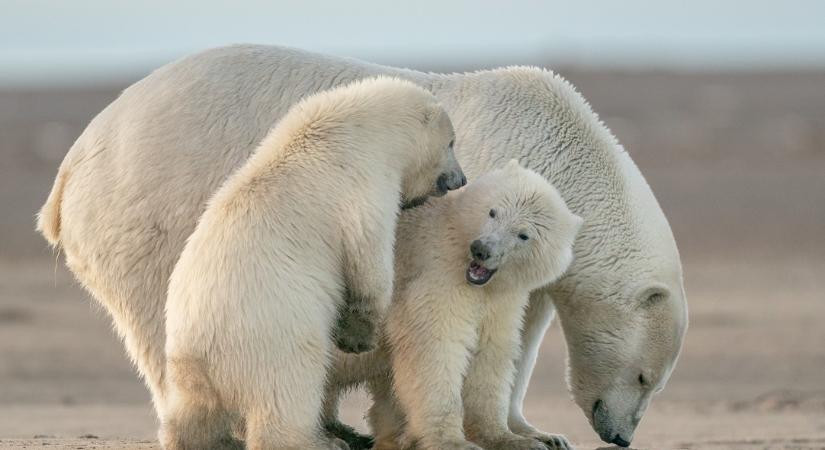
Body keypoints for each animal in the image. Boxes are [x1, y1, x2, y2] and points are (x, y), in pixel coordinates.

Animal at [159, 77, 464, 450]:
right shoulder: (362, 186)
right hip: (273, 338)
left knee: (190, 411)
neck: (355, 127)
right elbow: (368, 260)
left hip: (185, 364)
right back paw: (323, 440)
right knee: (289, 393)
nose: (459, 179)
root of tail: (203, 351)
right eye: (451, 143)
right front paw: (358, 337)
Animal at [364, 162, 584, 450]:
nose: (482, 249)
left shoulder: (500, 301)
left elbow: (489, 354)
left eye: (524, 235)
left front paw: (508, 438)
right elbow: (436, 347)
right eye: (493, 211)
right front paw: (452, 441)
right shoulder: (438, 277)